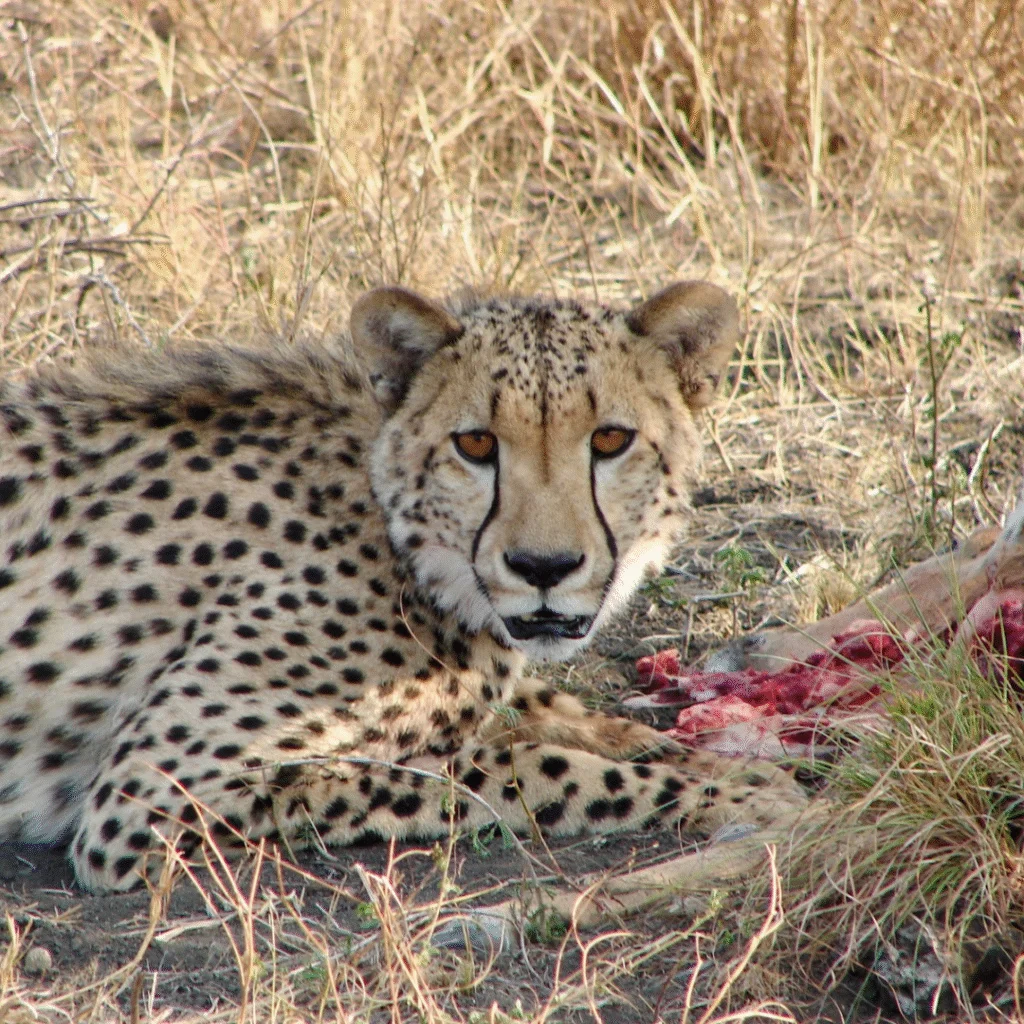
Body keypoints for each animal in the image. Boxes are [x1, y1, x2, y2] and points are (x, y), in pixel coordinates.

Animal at [0, 281, 807, 892]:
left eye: (611, 440)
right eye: (475, 443)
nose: (543, 567)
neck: (392, 531)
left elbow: (570, 720)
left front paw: (719, 759)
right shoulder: (148, 797)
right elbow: (507, 768)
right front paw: (730, 792)